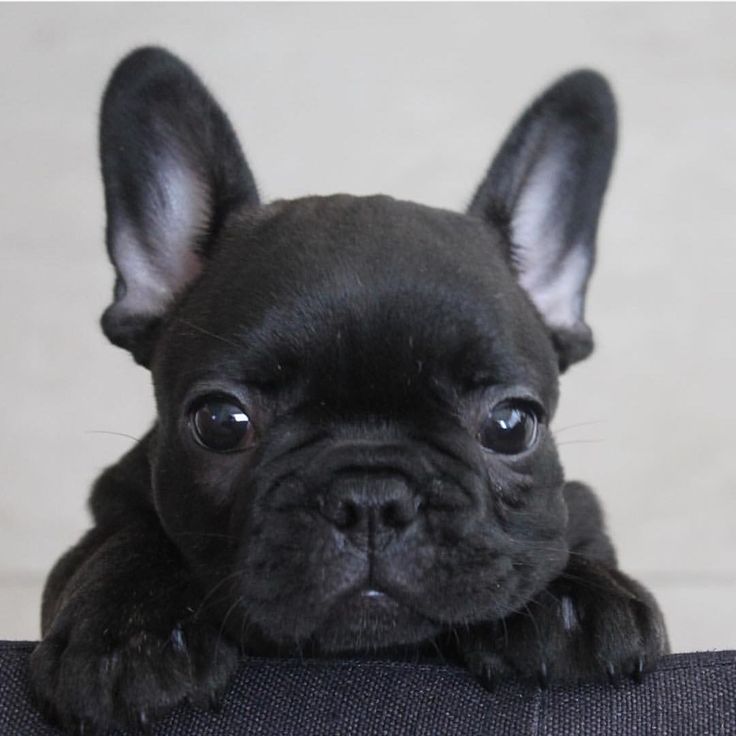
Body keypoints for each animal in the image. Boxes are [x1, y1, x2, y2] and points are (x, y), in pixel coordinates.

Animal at [31, 49, 668, 732]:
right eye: (220, 423)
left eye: (511, 426)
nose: (370, 500)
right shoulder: (105, 509)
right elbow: (122, 537)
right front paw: (128, 630)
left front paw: (577, 597)